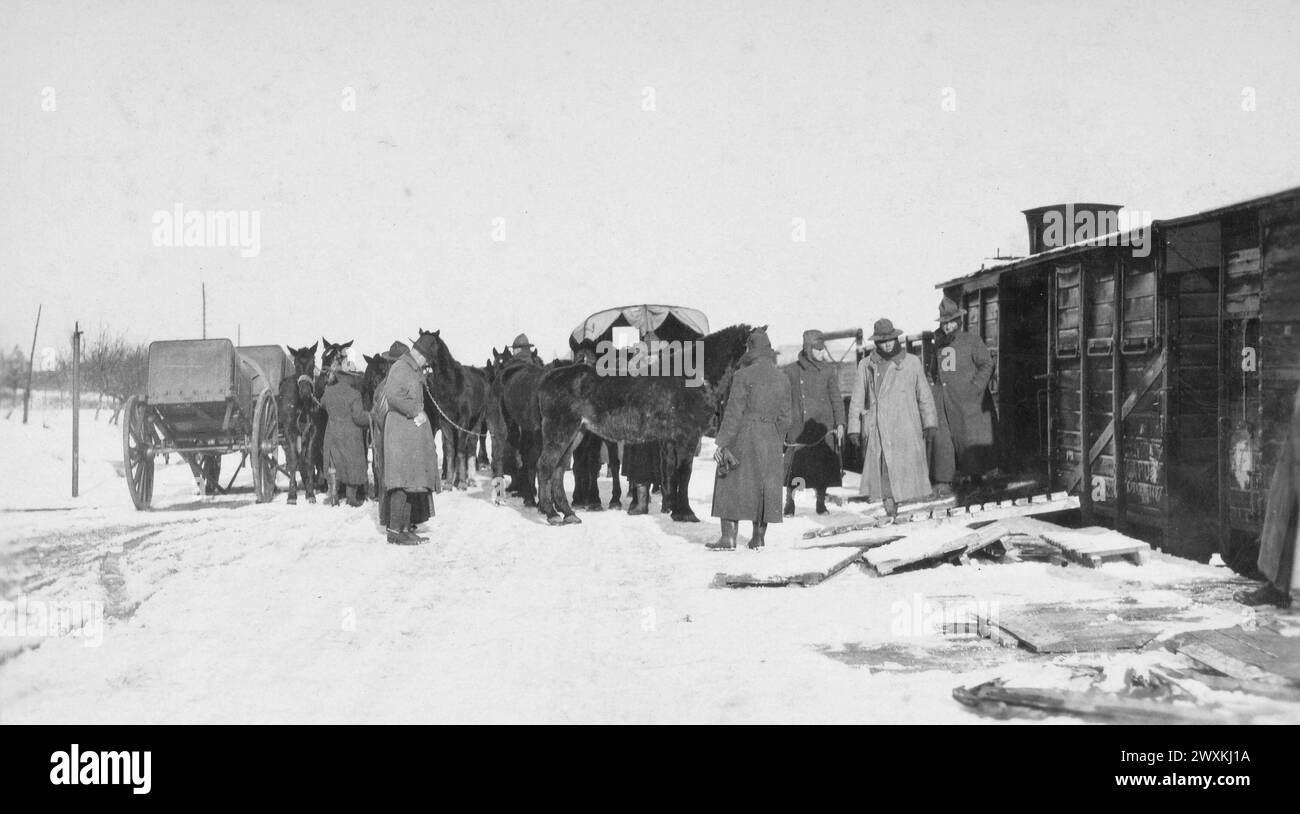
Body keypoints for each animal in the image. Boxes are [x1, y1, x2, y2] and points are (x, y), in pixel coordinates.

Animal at [416, 327, 491, 488]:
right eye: (418, 340)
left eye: (431, 343)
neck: (452, 384)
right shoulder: (445, 421)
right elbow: (450, 450)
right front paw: (449, 482)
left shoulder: (463, 420)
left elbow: (461, 450)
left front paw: (461, 483)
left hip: (476, 421)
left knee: (471, 446)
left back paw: (470, 479)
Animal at [530, 319, 754, 522]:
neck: (694, 376)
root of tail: (547, 379)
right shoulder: (688, 437)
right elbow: (684, 473)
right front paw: (686, 513)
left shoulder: (672, 440)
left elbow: (672, 472)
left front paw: (673, 509)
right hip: (560, 431)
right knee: (544, 466)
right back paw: (552, 514)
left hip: (576, 433)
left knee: (558, 469)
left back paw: (568, 514)